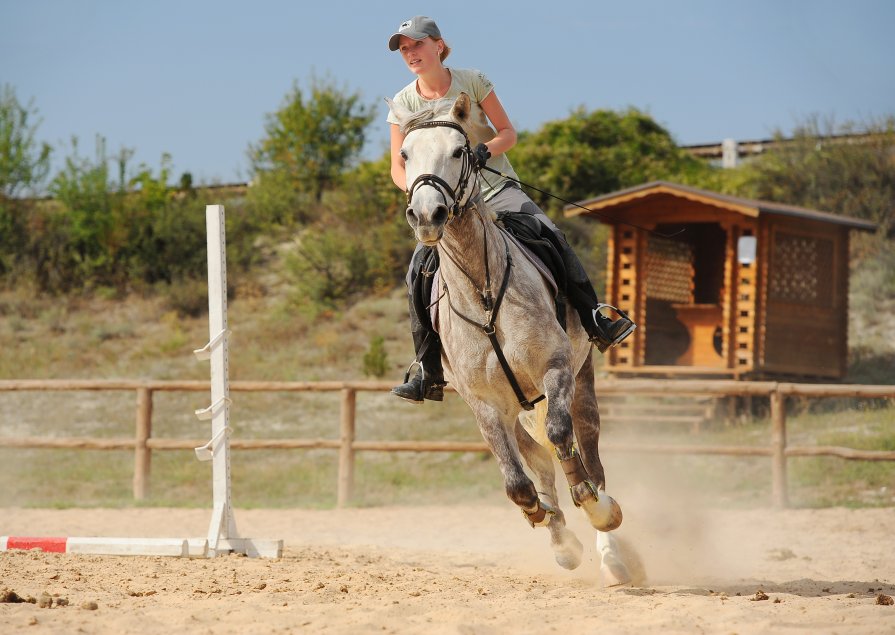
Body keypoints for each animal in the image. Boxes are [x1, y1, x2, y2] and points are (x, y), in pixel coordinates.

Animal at [390, 92, 632, 584]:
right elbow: (518, 484)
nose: (426, 215)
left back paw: (610, 550)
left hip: (581, 380)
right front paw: (552, 528)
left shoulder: (557, 368)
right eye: (405, 155)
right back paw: (563, 542)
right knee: (538, 462)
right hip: (515, 407)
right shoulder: (485, 405)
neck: (483, 292)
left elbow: (562, 439)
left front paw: (596, 509)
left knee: (587, 452)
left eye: (459, 151)